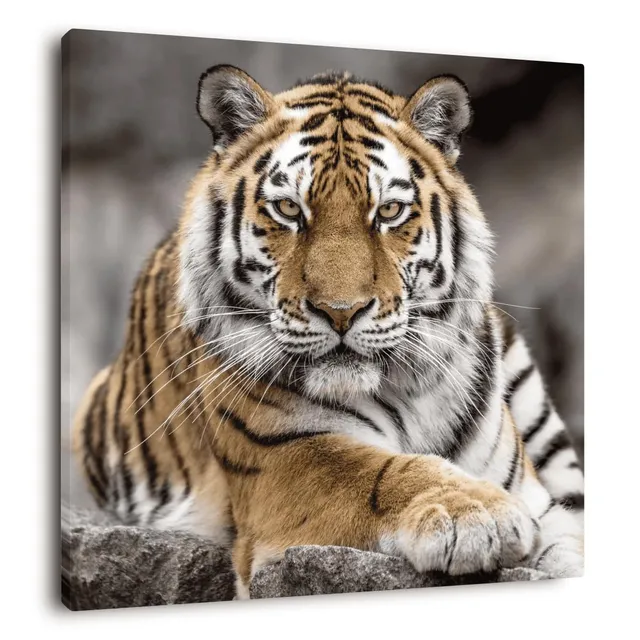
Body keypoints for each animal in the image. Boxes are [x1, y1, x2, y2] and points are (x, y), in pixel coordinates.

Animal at [72, 65, 584, 600]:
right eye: (288, 210)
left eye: (388, 212)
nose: (341, 312)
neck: (406, 390)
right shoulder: (283, 460)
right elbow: (381, 471)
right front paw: (477, 513)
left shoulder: (548, 507)